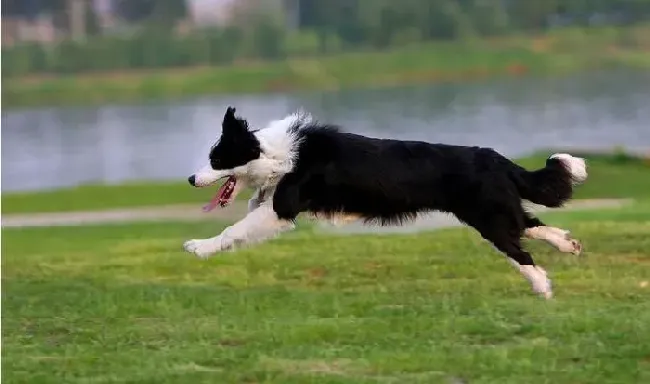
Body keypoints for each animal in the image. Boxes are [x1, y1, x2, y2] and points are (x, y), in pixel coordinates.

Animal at [185, 106, 584, 298]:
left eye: (216, 159)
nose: (190, 179)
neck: (273, 153)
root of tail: (496, 158)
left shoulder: (281, 209)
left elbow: (233, 230)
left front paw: (199, 247)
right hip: (498, 211)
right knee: (533, 226)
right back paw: (569, 245)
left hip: (489, 218)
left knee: (521, 250)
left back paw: (542, 288)